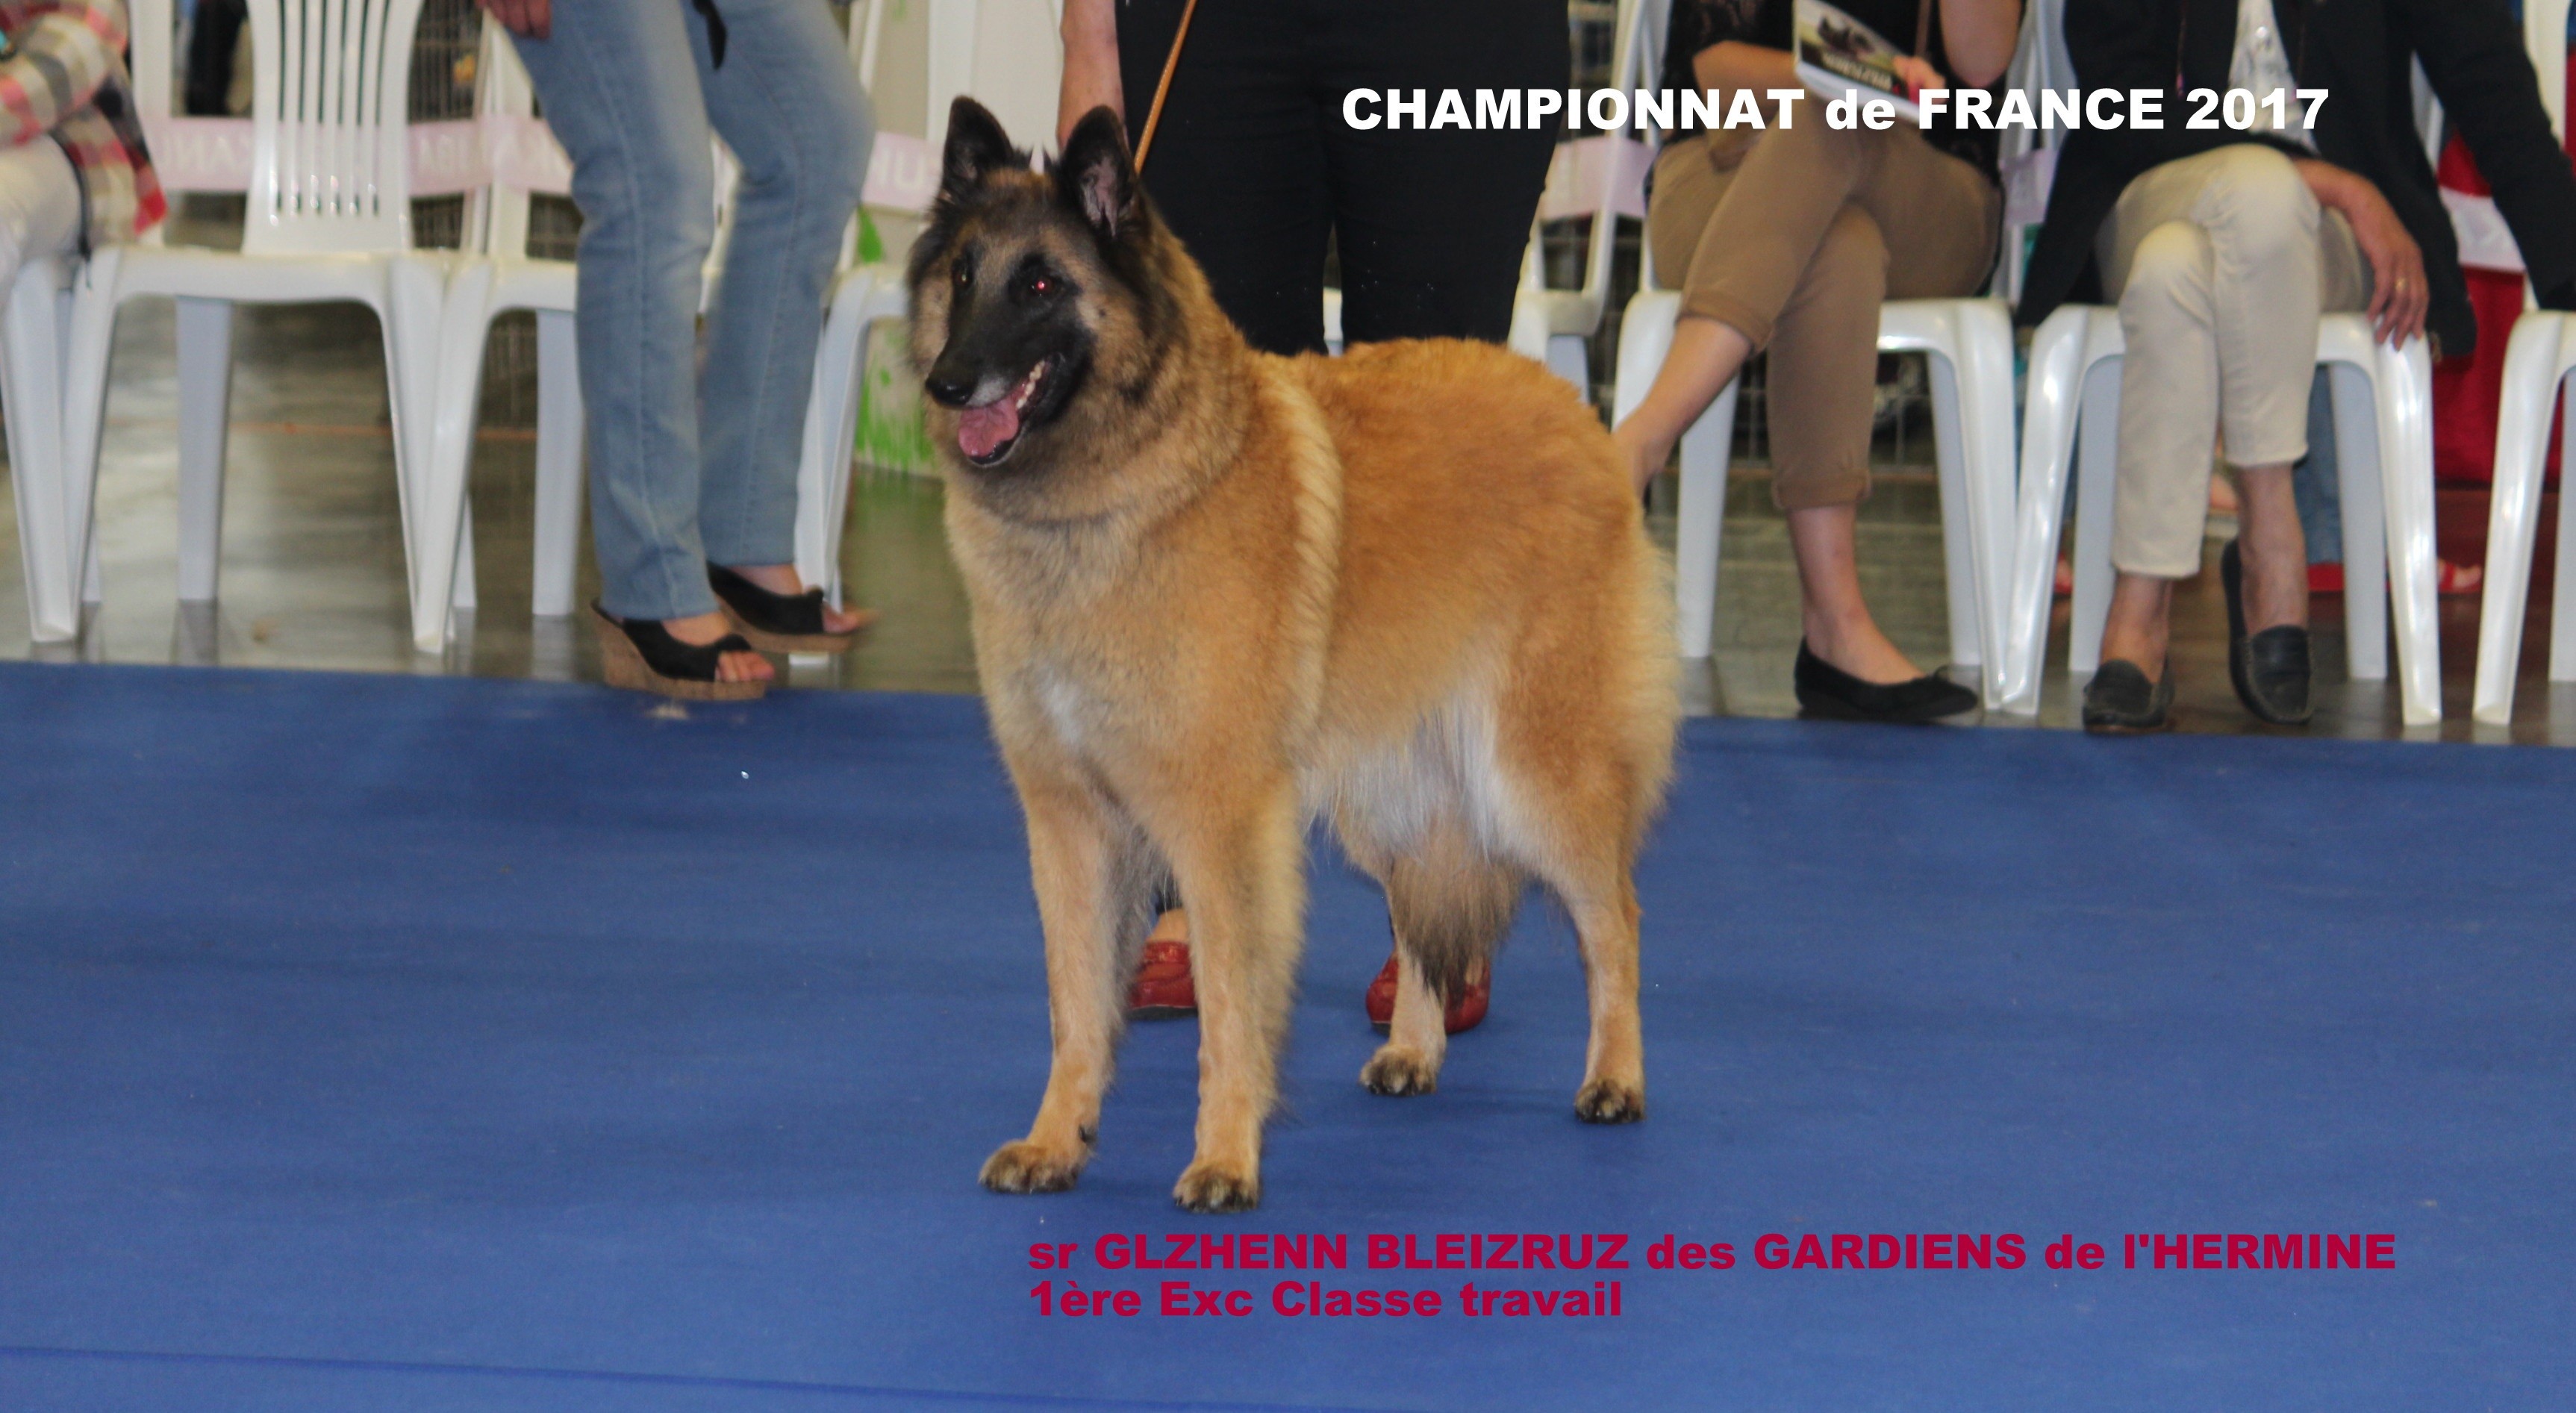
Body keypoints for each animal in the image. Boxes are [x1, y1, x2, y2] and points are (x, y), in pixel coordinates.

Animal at [917, 99, 1680, 1204]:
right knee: (1422, 905)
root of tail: (1574, 413)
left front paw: (1224, 1158)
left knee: (1612, 915)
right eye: (964, 276)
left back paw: (1614, 1077)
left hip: (1533, 770)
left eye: (1042, 284)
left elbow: (1234, 1001)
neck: (1115, 498)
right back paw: (1413, 1047)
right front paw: (1057, 1140)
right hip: (1390, 784)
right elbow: (1075, 1003)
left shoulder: (1220, 820)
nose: (945, 381)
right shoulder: (1067, 820)